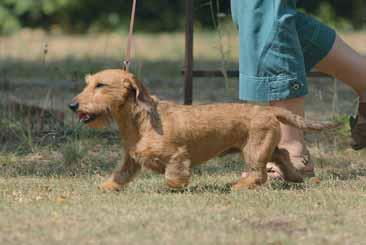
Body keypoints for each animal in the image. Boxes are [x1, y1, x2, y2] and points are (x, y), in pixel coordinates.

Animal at [68, 69, 338, 191]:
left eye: (100, 85)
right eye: (89, 83)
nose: (72, 105)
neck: (141, 121)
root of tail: (267, 111)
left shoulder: (177, 156)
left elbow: (173, 176)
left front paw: (176, 185)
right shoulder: (131, 158)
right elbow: (120, 175)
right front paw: (106, 187)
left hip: (254, 150)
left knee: (258, 173)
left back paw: (239, 186)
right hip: (264, 147)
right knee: (282, 154)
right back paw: (294, 176)